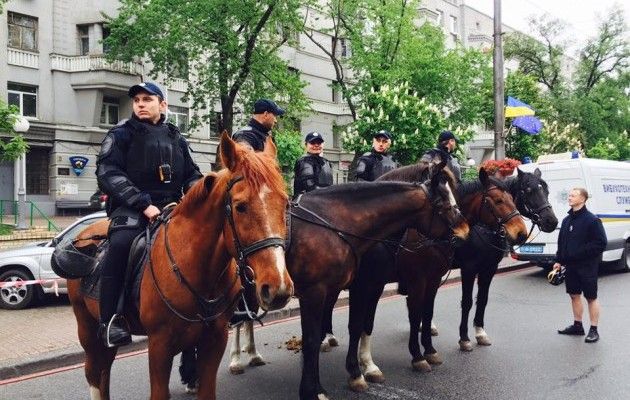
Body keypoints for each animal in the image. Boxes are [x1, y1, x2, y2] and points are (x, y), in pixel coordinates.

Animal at [68, 134, 296, 400]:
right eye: (240, 206)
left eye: (285, 204)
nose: (278, 288)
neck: (198, 271)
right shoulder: (159, 344)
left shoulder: (214, 339)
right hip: (87, 327)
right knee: (94, 372)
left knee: (104, 372)